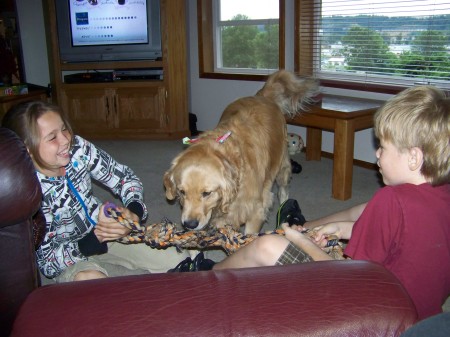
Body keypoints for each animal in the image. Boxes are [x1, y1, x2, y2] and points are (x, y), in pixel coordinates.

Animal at [163, 70, 318, 234]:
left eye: (206, 193)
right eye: (181, 192)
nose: (190, 224)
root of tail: (262, 96)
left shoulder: (256, 209)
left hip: (282, 165)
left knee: (283, 190)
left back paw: (284, 206)